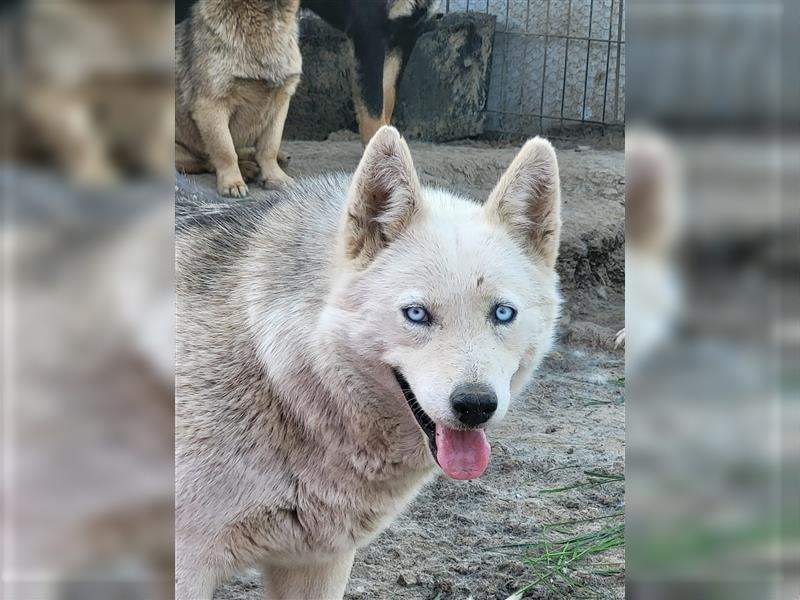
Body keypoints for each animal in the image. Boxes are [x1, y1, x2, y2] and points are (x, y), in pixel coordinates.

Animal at [175, 0, 300, 198]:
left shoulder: (280, 104)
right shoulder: (211, 106)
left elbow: (269, 147)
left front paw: (275, 177)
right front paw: (233, 182)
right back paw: (246, 169)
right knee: (207, 161)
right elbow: (225, 150)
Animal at [177, 125, 564, 596]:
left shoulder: (318, 563)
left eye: (503, 313)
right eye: (416, 314)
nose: (475, 406)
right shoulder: (186, 569)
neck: (271, 364)